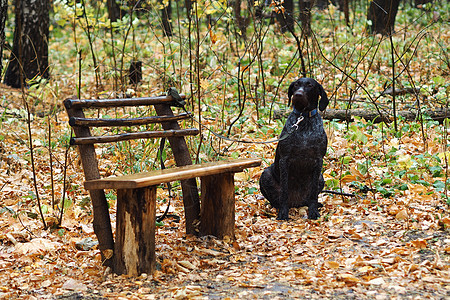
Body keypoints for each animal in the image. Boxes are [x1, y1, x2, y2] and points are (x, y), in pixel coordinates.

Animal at [258, 77, 328, 220]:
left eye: (310, 85)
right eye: (296, 85)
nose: (298, 94)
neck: (304, 119)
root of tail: (296, 203)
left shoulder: (318, 161)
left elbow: (313, 193)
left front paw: (313, 211)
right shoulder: (285, 160)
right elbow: (284, 191)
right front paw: (283, 213)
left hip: (320, 177)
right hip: (265, 174)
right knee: (276, 199)